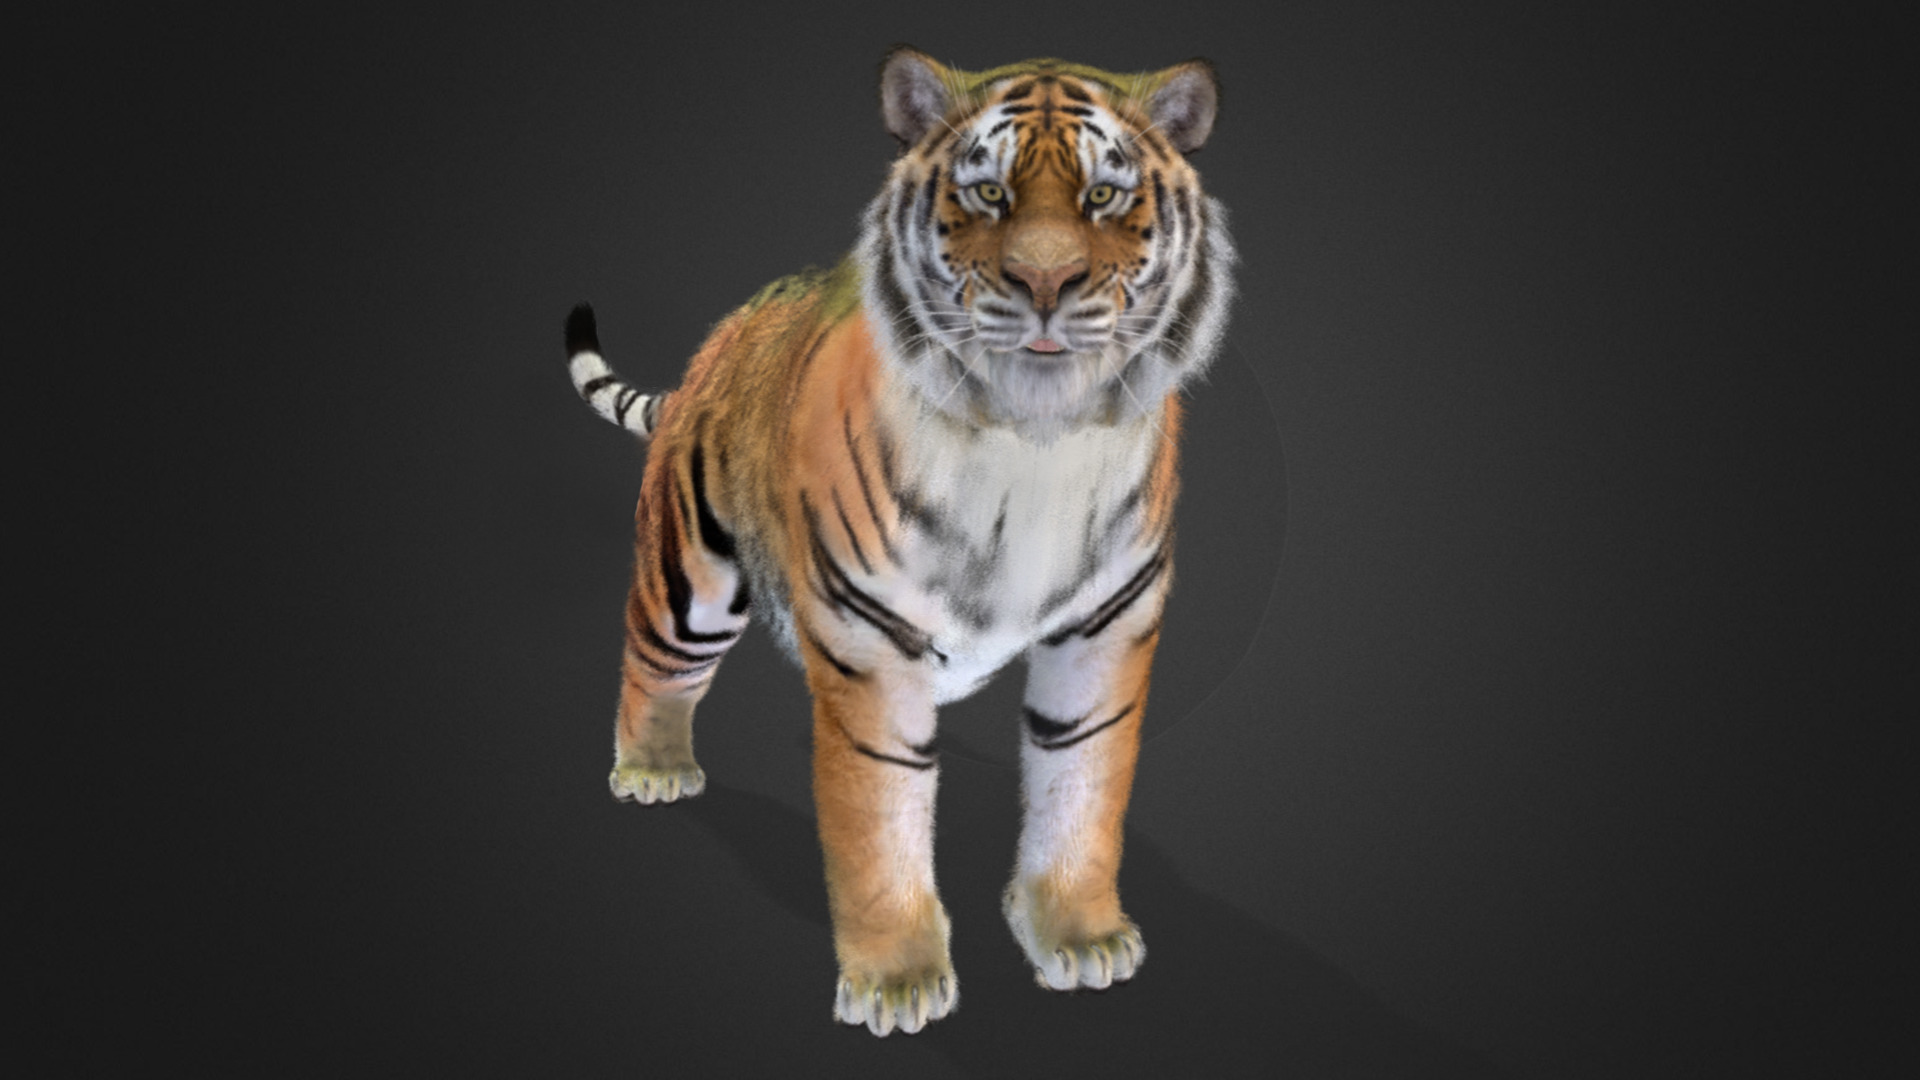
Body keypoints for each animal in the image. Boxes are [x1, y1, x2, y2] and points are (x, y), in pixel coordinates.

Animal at [564, 46, 1234, 1036]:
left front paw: (1078, 937)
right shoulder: (871, 649)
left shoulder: (1105, 631)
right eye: (989, 192)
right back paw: (653, 767)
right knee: (653, 660)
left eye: (1104, 197)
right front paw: (899, 983)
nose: (1045, 285)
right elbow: (878, 821)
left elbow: (1082, 786)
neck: (1035, 442)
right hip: (693, 579)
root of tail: (717, 344)